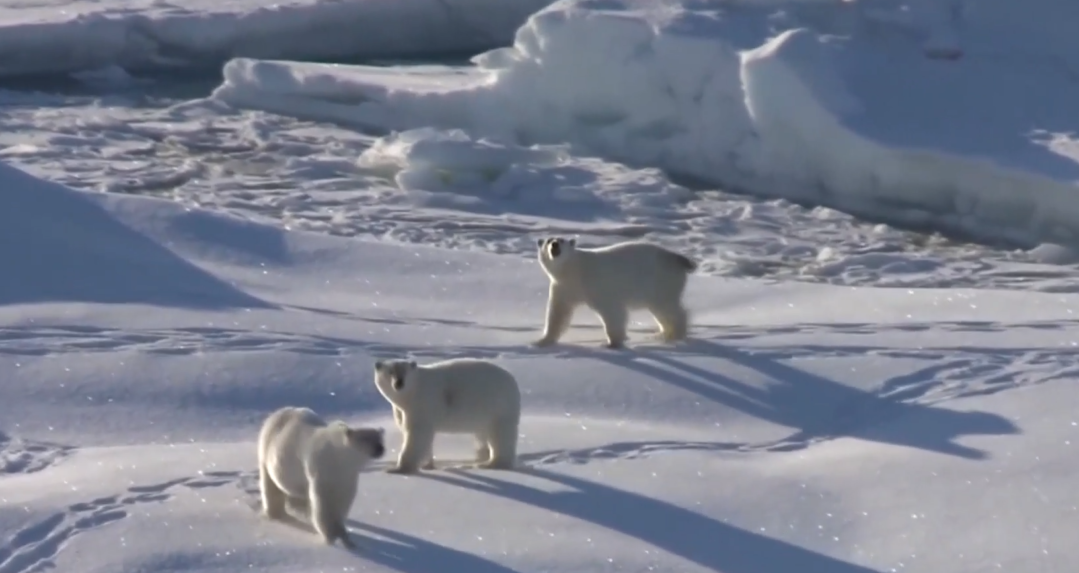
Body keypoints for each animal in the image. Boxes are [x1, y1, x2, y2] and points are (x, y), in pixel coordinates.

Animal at [255, 405, 384, 550]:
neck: (340, 457)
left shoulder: (347, 476)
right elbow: (323, 502)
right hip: (266, 450)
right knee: (271, 485)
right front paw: (331, 535)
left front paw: (345, 536)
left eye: (379, 438)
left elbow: (343, 500)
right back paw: (275, 514)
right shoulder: (322, 468)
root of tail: (277, 412)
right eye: (366, 438)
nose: (380, 448)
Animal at [373, 358, 520, 474]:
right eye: (390, 372)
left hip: (499, 407)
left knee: (500, 435)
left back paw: (490, 464)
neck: (411, 394)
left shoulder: (422, 403)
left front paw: (397, 469)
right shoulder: (402, 410)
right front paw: (428, 465)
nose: (399, 383)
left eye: (405, 371)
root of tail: (513, 381)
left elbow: (417, 435)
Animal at [533, 237, 699, 349]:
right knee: (660, 310)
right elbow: (558, 313)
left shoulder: (595, 284)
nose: (555, 244)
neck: (573, 269)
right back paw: (661, 334)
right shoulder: (563, 287)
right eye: (548, 240)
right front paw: (541, 341)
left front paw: (612, 343)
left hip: (661, 280)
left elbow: (612, 311)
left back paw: (675, 335)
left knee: (669, 307)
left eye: (561, 240)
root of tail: (676, 257)